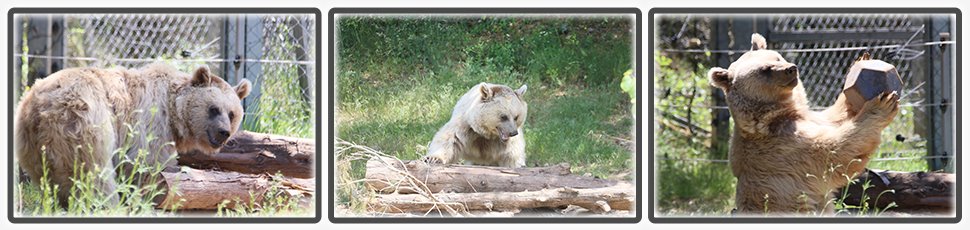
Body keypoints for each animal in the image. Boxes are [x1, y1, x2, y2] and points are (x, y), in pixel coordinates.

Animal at [704, 33, 900, 215]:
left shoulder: (806, 119)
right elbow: (835, 154)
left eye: (777, 57)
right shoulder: (785, 147)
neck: (771, 115)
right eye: (765, 69)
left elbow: (831, 119)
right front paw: (881, 105)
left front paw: (860, 63)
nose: (791, 69)